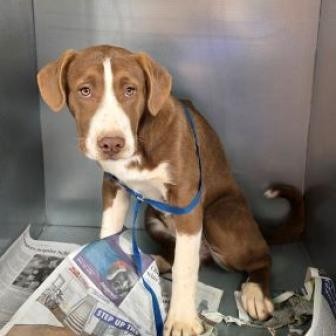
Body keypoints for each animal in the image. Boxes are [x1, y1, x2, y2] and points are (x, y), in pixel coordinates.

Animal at [35, 45, 304, 336]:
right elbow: (109, 230)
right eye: (84, 90)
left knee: (259, 257)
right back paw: (155, 261)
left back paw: (255, 292)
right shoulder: (113, 185)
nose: (112, 144)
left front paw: (183, 320)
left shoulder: (186, 200)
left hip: (218, 219)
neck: (141, 139)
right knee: (182, 254)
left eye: (130, 90)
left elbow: (185, 268)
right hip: (152, 218)